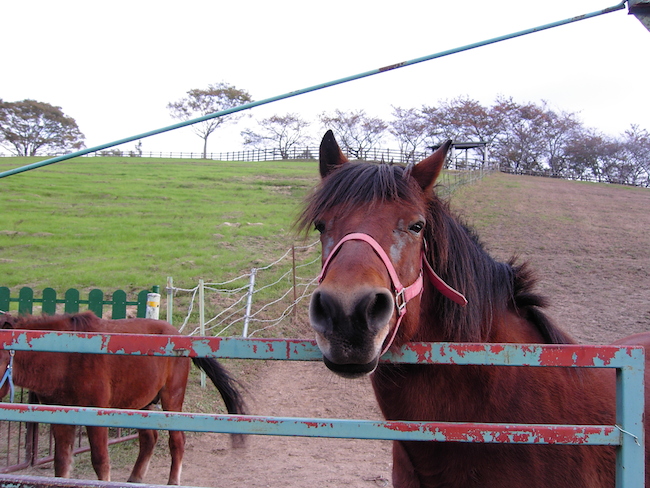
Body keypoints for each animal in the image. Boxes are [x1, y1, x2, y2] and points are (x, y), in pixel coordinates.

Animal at [0, 312, 246, 484]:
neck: (67, 354)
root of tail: (183, 338)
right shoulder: (60, 416)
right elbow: (61, 463)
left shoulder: (96, 414)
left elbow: (100, 461)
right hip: (142, 404)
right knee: (149, 439)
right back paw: (135, 477)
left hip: (171, 399)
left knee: (177, 441)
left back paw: (173, 480)